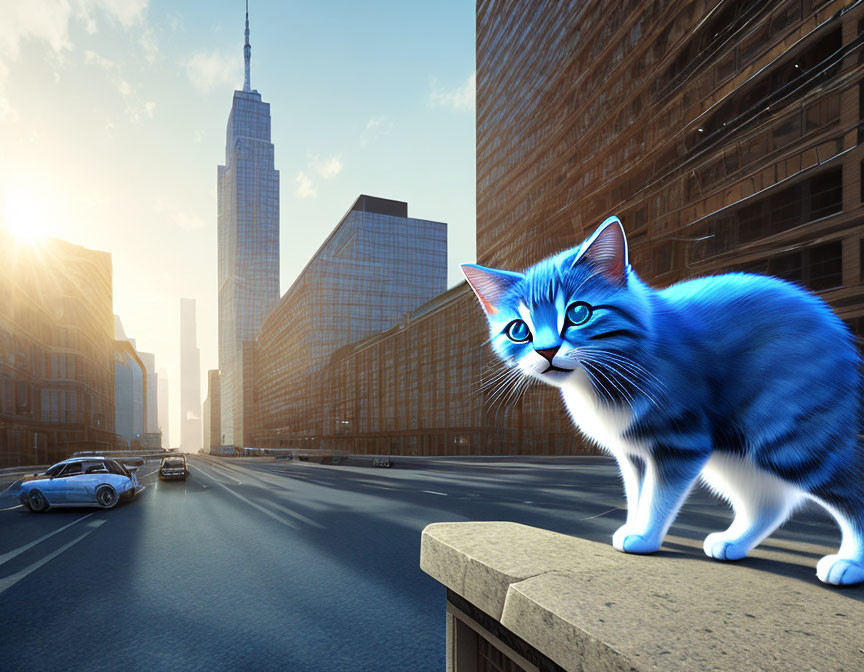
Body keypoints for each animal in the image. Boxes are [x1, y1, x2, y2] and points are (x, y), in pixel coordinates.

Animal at [462, 218, 864, 584]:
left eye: (578, 313)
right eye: (518, 330)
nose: (545, 351)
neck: (599, 380)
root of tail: (836, 325)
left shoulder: (679, 441)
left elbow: (659, 496)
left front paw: (644, 536)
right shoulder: (633, 453)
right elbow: (639, 493)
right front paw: (634, 528)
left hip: (794, 435)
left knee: (848, 488)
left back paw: (849, 564)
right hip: (732, 455)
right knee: (769, 502)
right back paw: (734, 542)